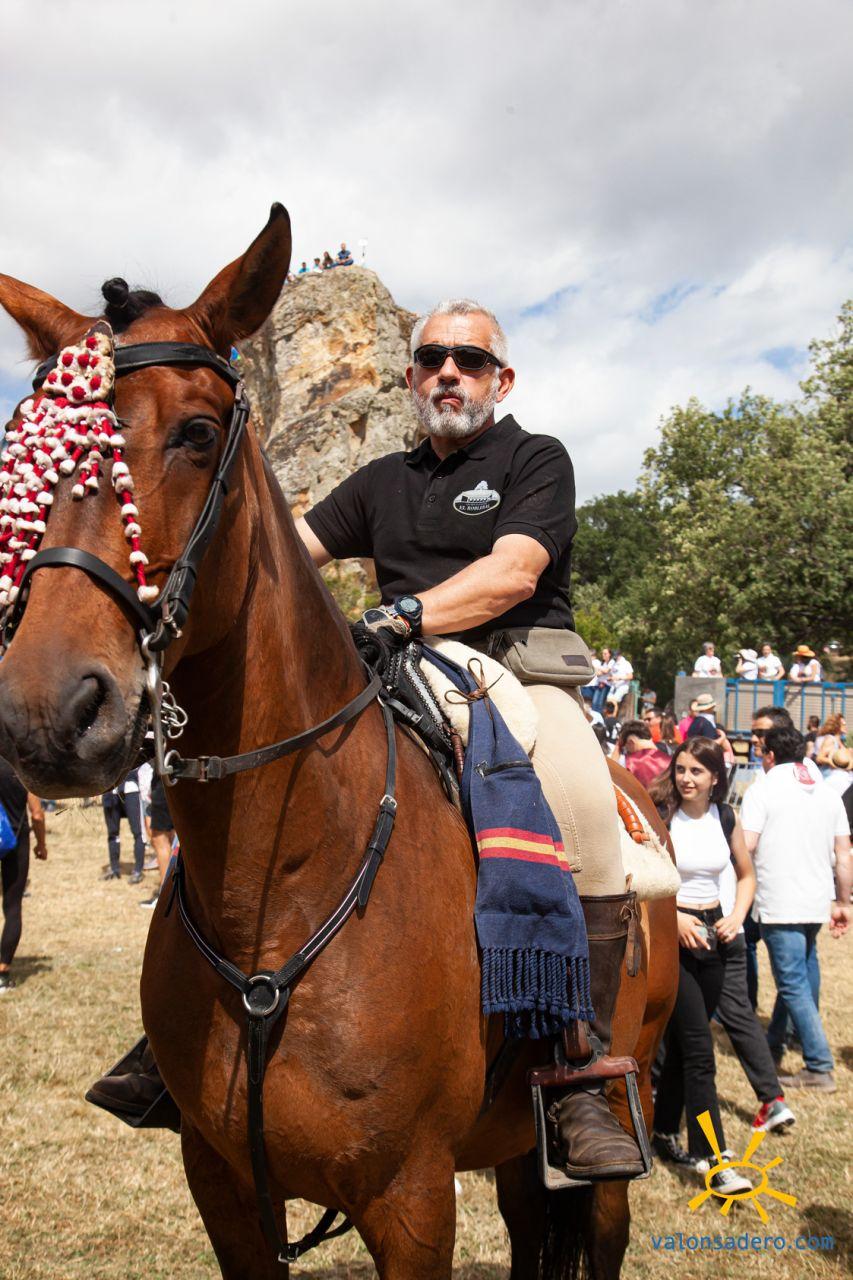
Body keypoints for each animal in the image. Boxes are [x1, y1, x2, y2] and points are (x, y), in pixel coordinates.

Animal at [0, 205, 677, 1279]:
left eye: (197, 433)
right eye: (25, 452)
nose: (48, 712)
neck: (278, 894)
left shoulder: (410, 1198)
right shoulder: (225, 1186)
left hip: (630, 1084)